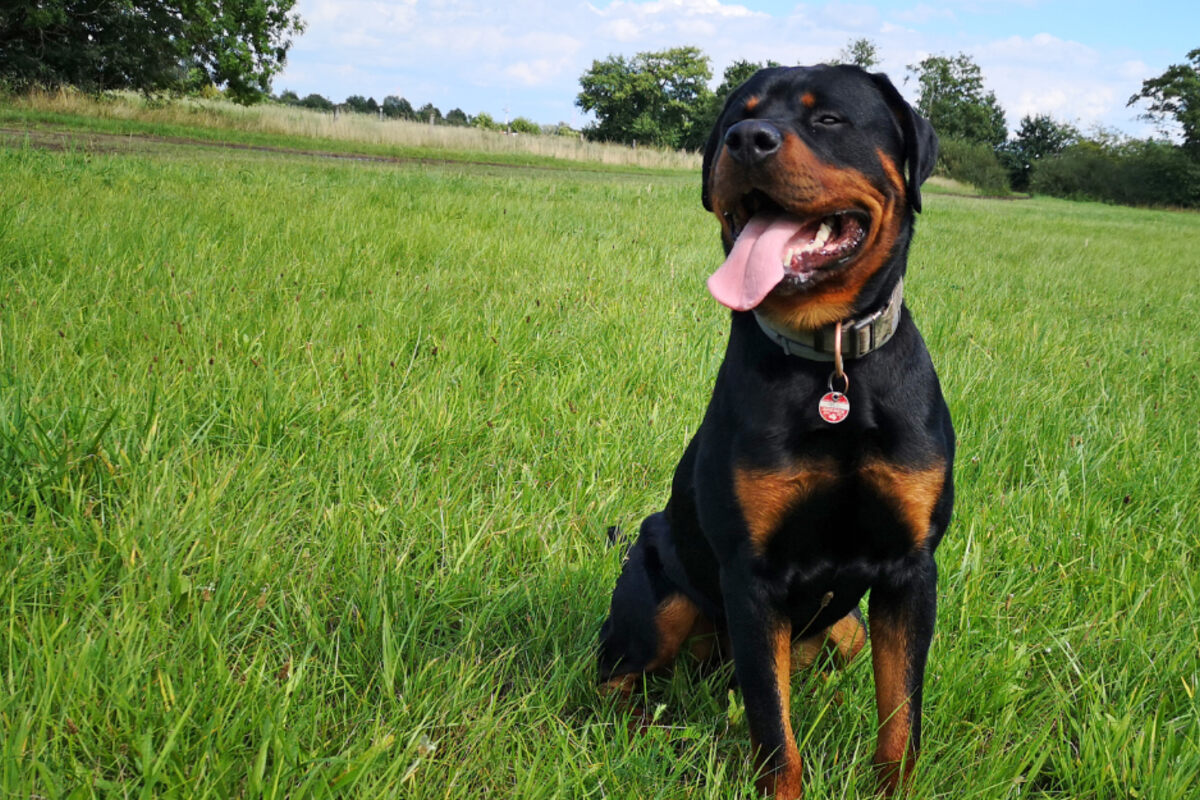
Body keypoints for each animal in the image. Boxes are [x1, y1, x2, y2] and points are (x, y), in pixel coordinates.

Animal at [597, 65, 955, 796]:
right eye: (741, 114)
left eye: (829, 120)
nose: (747, 140)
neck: (831, 366)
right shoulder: (751, 577)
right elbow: (773, 731)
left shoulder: (910, 569)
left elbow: (900, 717)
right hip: (660, 593)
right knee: (612, 676)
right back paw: (645, 731)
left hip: (846, 627)